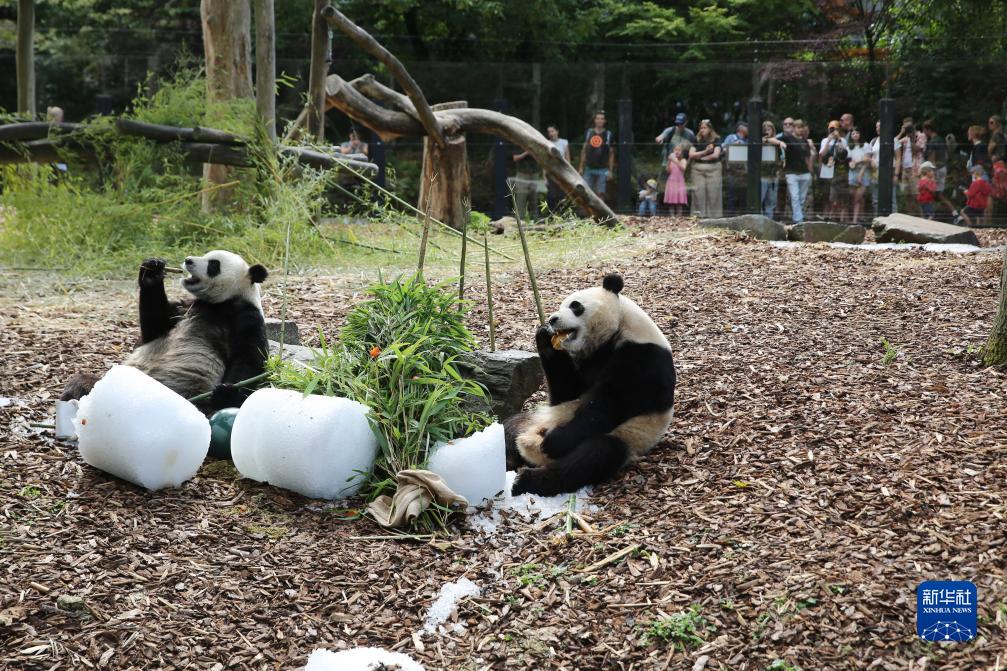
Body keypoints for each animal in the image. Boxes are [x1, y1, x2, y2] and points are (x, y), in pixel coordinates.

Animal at [61, 249, 269, 411]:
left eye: (213, 265)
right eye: (206, 255)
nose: (188, 260)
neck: (219, 303)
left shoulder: (245, 316)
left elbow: (248, 357)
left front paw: (226, 392)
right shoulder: (184, 307)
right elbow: (153, 329)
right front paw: (152, 272)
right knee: (84, 383)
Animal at [503, 274, 676, 495]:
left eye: (575, 306)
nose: (552, 319)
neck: (619, 328)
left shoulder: (643, 358)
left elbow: (608, 406)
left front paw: (555, 441)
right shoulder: (590, 360)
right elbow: (568, 392)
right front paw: (545, 338)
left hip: (630, 436)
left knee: (592, 457)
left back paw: (527, 479)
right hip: (535, 419)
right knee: (510, 426)